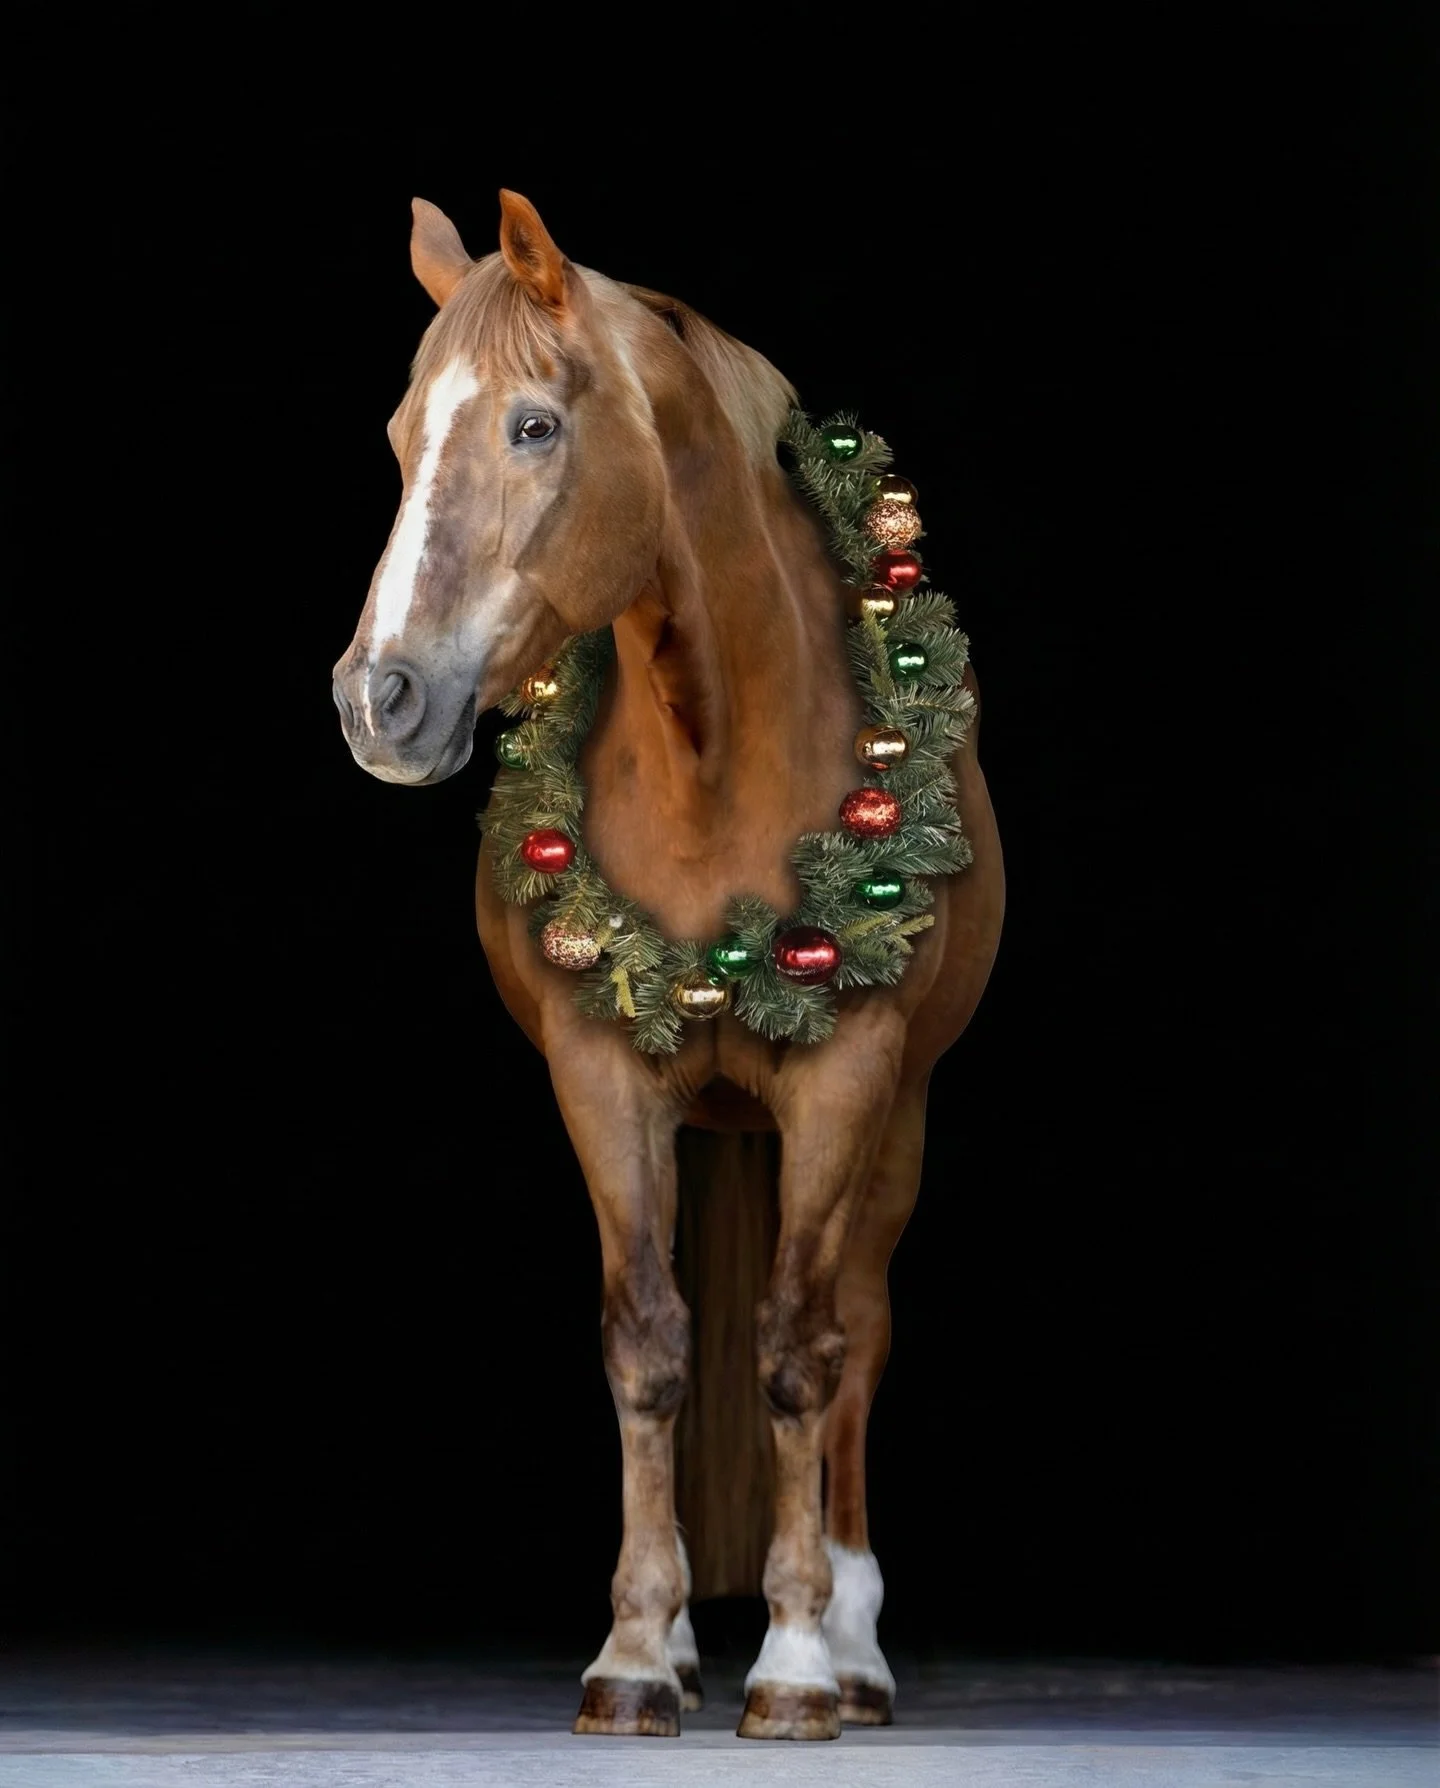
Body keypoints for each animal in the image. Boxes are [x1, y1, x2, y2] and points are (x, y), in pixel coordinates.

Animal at [331, 189, 1004, 1741]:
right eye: (399, 435)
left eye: (533, 425)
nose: (377, 699)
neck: (714, 755)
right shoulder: (602, 1075)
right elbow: (649, 1347)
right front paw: (639, 1653)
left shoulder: (848, 1078)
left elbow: (801, 1353)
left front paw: (799, 1664)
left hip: (897, 1123)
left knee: (859, 1335)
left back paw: (856, 1648)